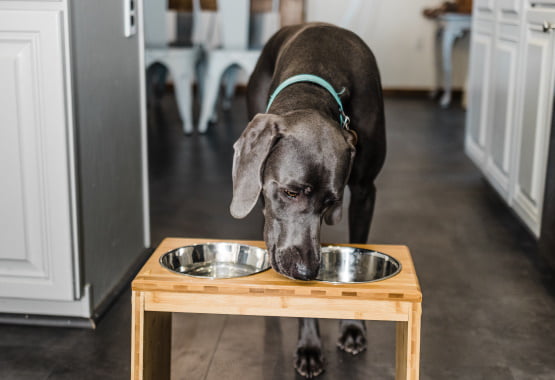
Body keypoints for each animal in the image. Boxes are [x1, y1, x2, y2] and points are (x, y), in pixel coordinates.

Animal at [230, 23, 386, 378]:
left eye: (330, 202)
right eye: (290, 192)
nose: (306, 271)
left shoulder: (364, 191)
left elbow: (358, 257)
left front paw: (352, 327)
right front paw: (311, 346)